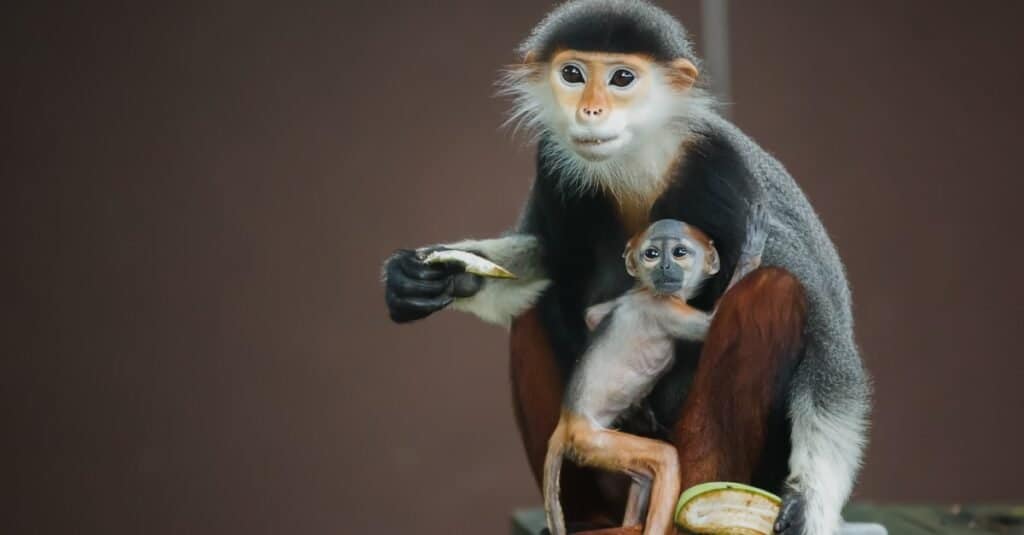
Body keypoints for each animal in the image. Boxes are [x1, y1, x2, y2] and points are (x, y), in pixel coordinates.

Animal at [548, 208, 765, 532]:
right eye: (651, 254)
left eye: (679, 252)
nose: (664, 265)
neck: (646, 292)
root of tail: (566, 421)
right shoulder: (662, 308)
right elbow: (712, 323)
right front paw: (752, 250)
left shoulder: (627, 299)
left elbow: (593, 316)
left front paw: (640, 407)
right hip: (592, 441)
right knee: (664, 459)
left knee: (645, 475)